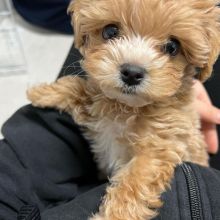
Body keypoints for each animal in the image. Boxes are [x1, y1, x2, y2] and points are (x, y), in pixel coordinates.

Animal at [27, 0, 220, 220]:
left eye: (173, 47)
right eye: (110, 31)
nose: (132, 73)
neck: (126, 108)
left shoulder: (160, 148)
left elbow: (134, 181)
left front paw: (113, 215)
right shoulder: (97, 105)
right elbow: (78, 86)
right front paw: (43, 92)